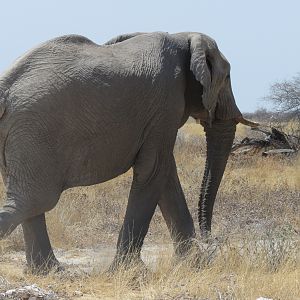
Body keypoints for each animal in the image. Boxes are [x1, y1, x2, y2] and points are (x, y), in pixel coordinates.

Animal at [0, 31, 256, 274]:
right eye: (227, 77)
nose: (211, 239)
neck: (182, 37)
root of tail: (5, 87)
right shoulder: (166, 103)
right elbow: (153, 170)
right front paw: (129, 270)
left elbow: (166, 175)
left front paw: (195, 265)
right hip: (35, 132)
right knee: (35, 200)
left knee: (30, 201)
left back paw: (50, 271)